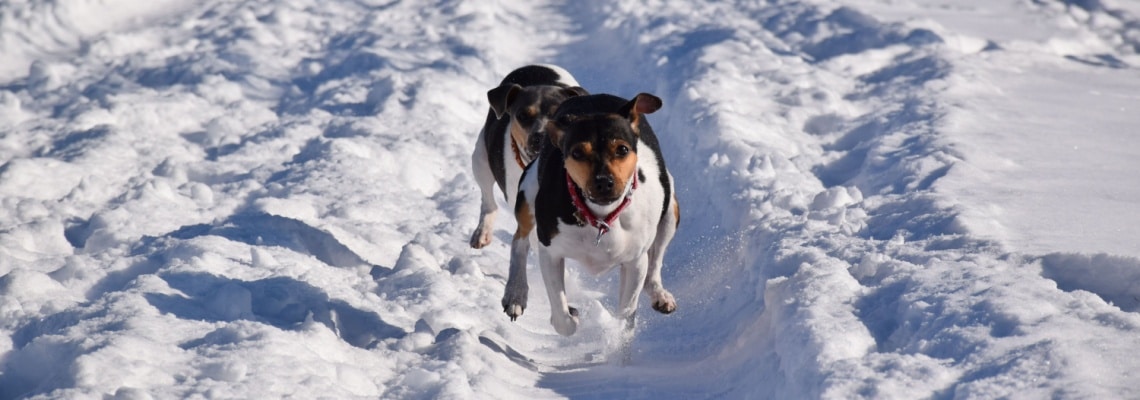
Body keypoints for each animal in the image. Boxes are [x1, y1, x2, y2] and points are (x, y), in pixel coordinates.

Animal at [469, 64, 588, 249]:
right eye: (522, 116)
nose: (541, 136)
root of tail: (531, 66)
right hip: (480, 159)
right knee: (488, 200)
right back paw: (483, 232)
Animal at [501, 92, 674, 337]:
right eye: (577, 153)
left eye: (622, 149)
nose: (603, 182)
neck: (601, 218)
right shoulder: (551, 252)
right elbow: (562, 316)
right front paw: (569, 317)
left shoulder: (635, 261)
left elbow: (627, 312)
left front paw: (618, 336)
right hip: (528, 192)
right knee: (520, 240)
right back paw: (515, 293)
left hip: (670, 210)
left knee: (655, 261)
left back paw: (660, 294)